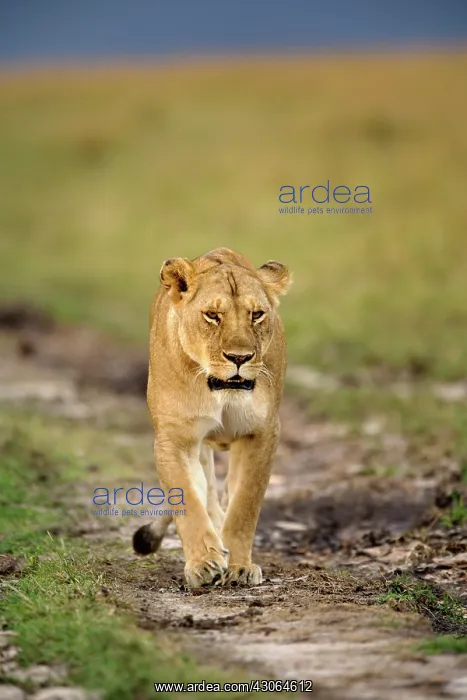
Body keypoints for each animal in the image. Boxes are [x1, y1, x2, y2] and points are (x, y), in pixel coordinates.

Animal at [133, 247, 291, 588]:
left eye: (257, 314)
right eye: (212, 316)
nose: (239, 358)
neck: (218, 388)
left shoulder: (262, 433)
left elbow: (244, 506)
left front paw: (240, 567)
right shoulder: (175, 438)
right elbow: (188, 501)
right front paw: (203, 563)